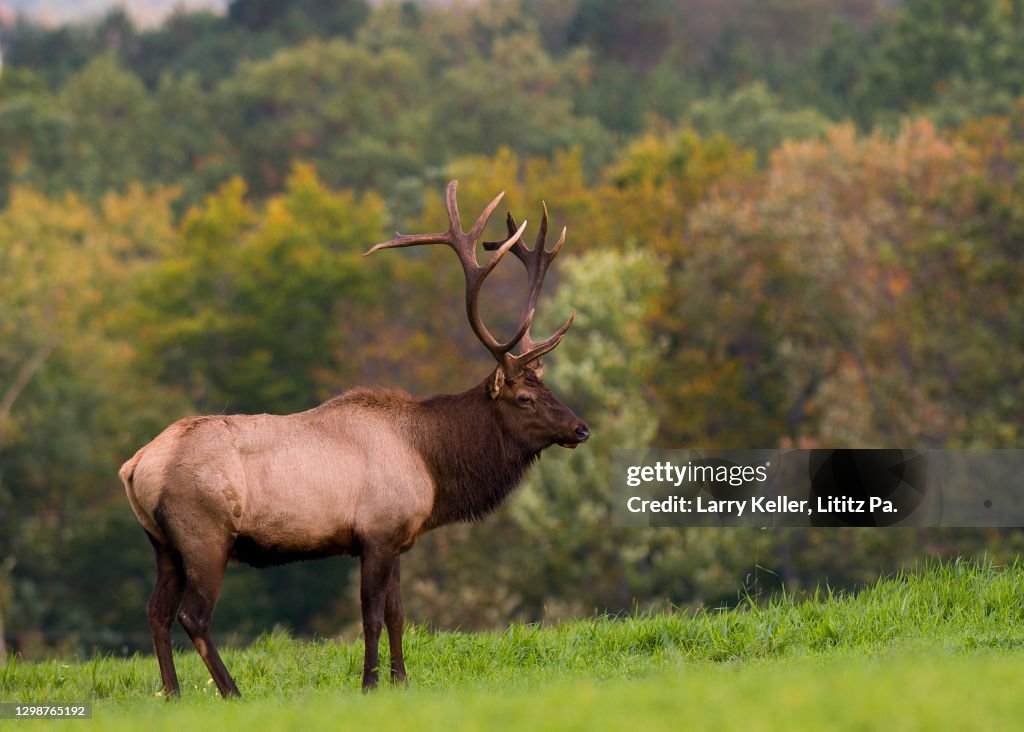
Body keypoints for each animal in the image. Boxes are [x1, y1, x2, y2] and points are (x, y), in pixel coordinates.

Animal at [120, 180, 589, 698]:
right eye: (524, 398)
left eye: (549, 387)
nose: (580, 428)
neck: (430, 463)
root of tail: (135, 466)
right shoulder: (376, 533)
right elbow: (371, 618)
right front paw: (369, 683)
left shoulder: (399, 536)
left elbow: (398, 615)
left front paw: (401, 680)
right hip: (205, 534)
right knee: (194, 615)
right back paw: (231, 691)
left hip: (162, 543)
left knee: (156, 611)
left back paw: (173, 693)